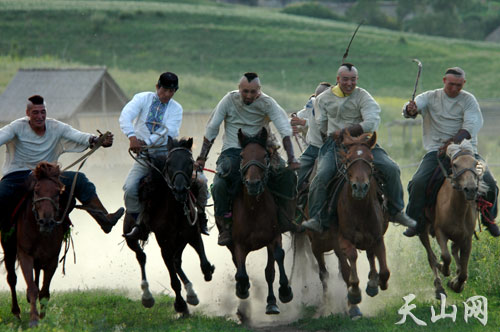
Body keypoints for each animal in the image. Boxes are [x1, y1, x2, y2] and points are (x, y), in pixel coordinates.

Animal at [0, 161, 71, 326]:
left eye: (57, 193)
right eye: (36, 191)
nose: (47, 222)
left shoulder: (52, 259)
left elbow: (44, 292)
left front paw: (43, 318)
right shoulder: (25, 255)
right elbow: (32, 287)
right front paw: (33, 319)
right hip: (9, 250)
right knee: (12, 279)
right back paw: (17, 313)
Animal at [123, 136, 215, 316]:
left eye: (190, 162)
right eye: (169, 163)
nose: (180, 189)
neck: (175, 210)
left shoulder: (192, 234)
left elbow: (203, 262)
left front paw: (208, 271)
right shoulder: (164, 245)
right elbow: (173, 280)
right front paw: (180, 305)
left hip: (180, 241)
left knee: (176, 261)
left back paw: (191, 293)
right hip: (130, 236)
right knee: (141, 256)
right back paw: (147, 296)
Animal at [229, 127, 294, 316]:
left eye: (265, 155)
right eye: (241, 156)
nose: (253, 184)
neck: (253, 210)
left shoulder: (273, 238)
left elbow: (276, 261)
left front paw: (284, 291)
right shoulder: (238, 244)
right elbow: (241, 271)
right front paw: (242, 288)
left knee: (269, 270)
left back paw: (271, 302)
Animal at [304, 131, 390, 318]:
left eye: (371, 159)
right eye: (348, 159)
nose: (360, 187)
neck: (359, 209)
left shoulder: (377, 237)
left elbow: (384, 269)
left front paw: (377, 283)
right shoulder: (342, 240)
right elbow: (350, 265)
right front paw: (355, 295)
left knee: (368, 257)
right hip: (316, 245)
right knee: (325, 273)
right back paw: (330, 306)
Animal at [418, 140, 488, 298]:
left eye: (475, 163)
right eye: (455, 165)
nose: (471, 189)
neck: (456, 209)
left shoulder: (467, 238)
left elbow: (464, 272)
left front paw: (456, 284)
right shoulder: (440, 232)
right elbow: (445, 256)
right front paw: (445, 270)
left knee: (454, 250)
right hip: (423, 230)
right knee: (431, 256)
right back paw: (439, 287)